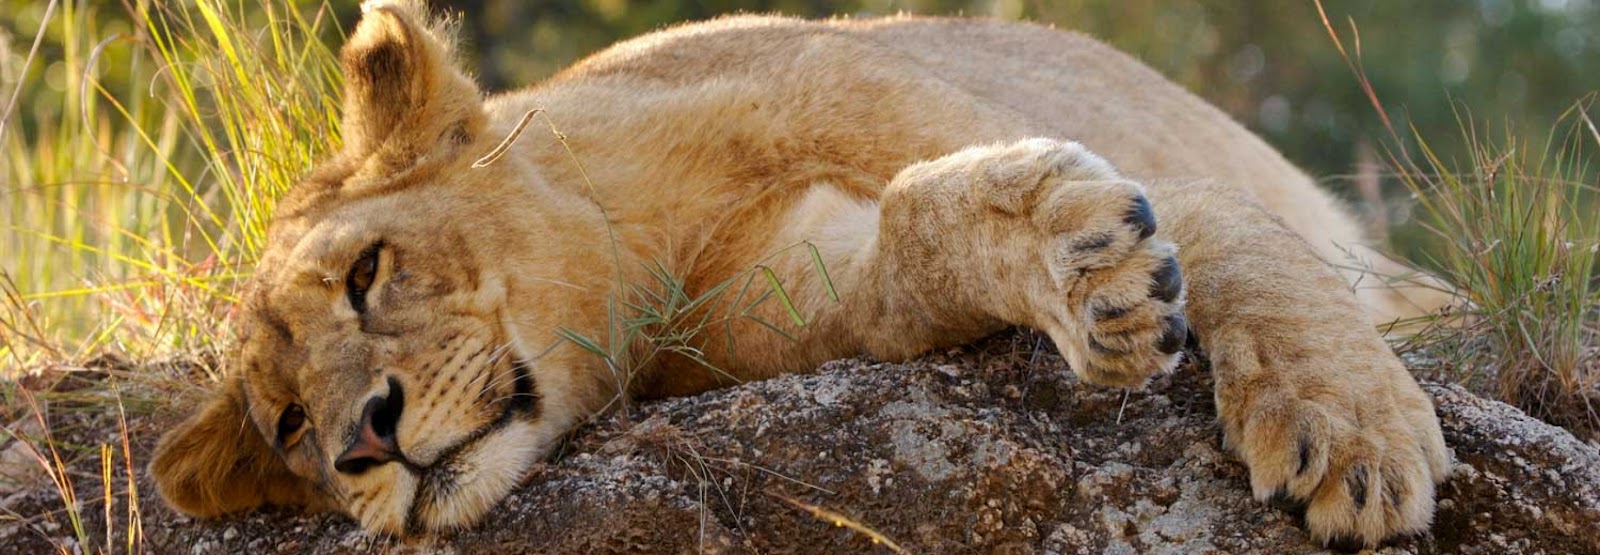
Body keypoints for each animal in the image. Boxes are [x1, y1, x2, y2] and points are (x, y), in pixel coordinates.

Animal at [149, 1, 1453, 550]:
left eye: (368, 271)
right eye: (287, 426)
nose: (364, 442)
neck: (638, 240)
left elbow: (1244, 251)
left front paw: (1354, 436)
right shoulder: (793, 305)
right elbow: (916, 246)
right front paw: (1076, 262)